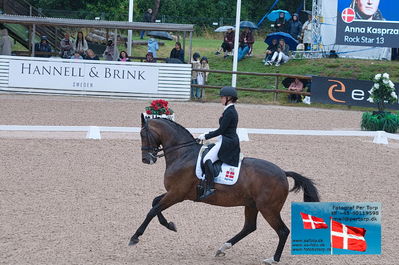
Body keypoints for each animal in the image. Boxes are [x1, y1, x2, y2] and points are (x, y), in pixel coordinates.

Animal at [130, 114, 320, 262]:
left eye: (142, 134)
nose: (146, 159)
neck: (182, 154)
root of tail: (283, 173)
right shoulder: (175, 193)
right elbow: (154, 203)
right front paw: (170, 225)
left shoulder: (177, 194)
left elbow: (153, 210)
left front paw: (135, 237)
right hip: (252, 205)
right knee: (249, 227)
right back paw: (222, 248)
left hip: (268, 208)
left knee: (282, 231)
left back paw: (273, 259)